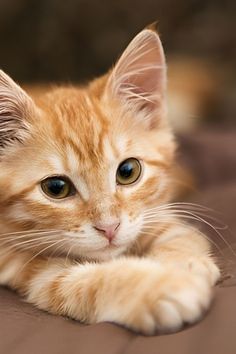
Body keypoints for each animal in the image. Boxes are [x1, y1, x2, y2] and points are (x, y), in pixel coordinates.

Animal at [0, 28, 219, 334]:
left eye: (128, 171)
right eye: (56, 188)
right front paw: (161, 287)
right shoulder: (17, 261)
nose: (109, 228)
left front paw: (184, 263)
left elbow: (179, 233)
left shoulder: (154, 212)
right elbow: (78, 283)